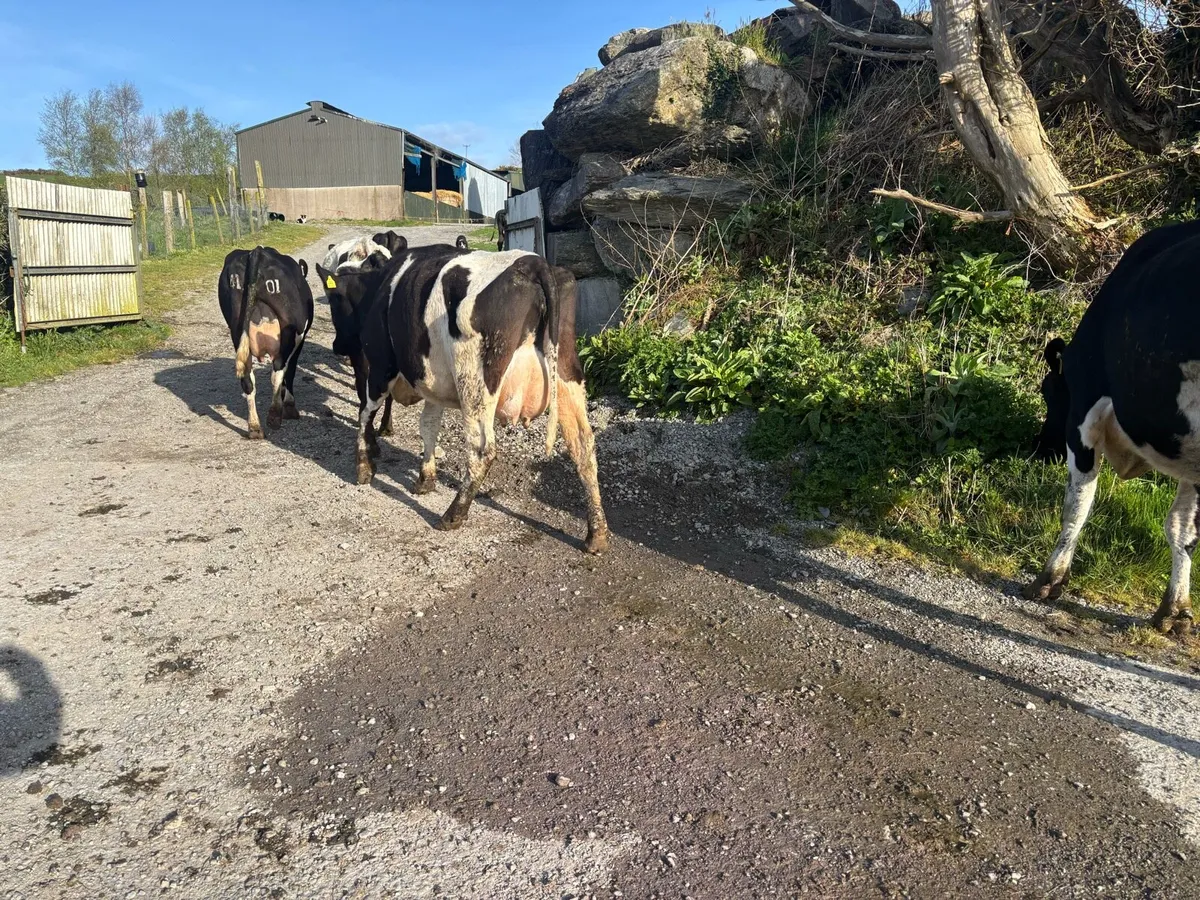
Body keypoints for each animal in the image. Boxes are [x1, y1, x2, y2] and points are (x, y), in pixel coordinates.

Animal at [217, 246, 314, 439]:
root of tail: (256, 252)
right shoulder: (300, 340)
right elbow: (290, 371)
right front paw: (289, 405)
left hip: (237, 330)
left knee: (247, 379)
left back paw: (254, 428)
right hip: (288, 333)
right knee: (278, 370)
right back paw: (275, 416)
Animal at [319, 248, 609, 553]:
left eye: (334, 300)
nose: (337, 345)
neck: (379, 285)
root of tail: (531, 262)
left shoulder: (381, 365)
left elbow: (366, 413)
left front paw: (364, 468)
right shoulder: (431, 382)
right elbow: (428, 426)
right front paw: (425, 478)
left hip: (474, 382)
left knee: (483, 450)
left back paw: (453, 514)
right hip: (566, 375)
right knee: (583, 446)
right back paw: (596, 534)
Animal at [1026, 219, 1200, 635]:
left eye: (1047, 391)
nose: (1038, 448)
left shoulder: (1085, 410)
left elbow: (1077, 503)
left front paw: (1050, 579)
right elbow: (1182, 529)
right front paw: (1175, 611)